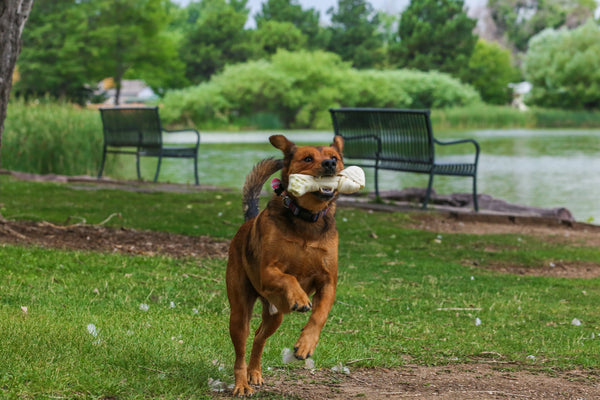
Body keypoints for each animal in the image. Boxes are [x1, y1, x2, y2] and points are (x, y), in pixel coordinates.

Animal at [227, 135, 344, 396]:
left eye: (334, 156)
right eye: (308, 158)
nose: (330, 164)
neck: (306, 219)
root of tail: (249, 221)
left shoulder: (328, 281)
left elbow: (319, 315)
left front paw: (305, 344)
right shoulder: (268, 271)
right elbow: (289, 277)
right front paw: (300, 298)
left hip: (275, 316)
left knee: (259, 337)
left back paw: (255, 373)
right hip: (239, 312)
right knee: (241, 350)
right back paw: (242, 384)